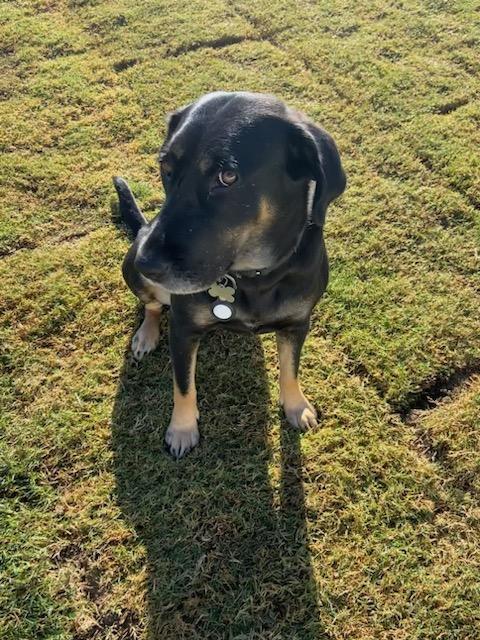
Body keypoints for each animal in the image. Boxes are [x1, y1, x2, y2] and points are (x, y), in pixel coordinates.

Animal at [114, 91, 346, 460]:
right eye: (166, 169)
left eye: (228, 176)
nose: (145, 262)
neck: (254, 275)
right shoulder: (183, 328)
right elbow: (183, 385)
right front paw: (182, 429)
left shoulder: (297, 324)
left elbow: (290, 368)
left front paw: (296, 406)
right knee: (151, 307)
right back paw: (146, 335)